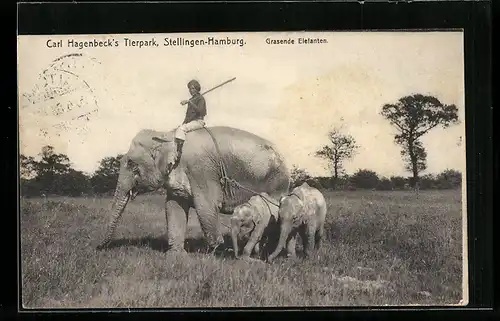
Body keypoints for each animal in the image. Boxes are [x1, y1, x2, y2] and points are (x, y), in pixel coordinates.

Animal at [96, 125, 292, 252]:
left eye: (131, 164)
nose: (99, 247)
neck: (167, 134)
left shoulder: (201, 171)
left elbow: (206, 205)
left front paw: (216, 252)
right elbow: (173, 207)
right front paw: (176, 255)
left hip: (276, 182)